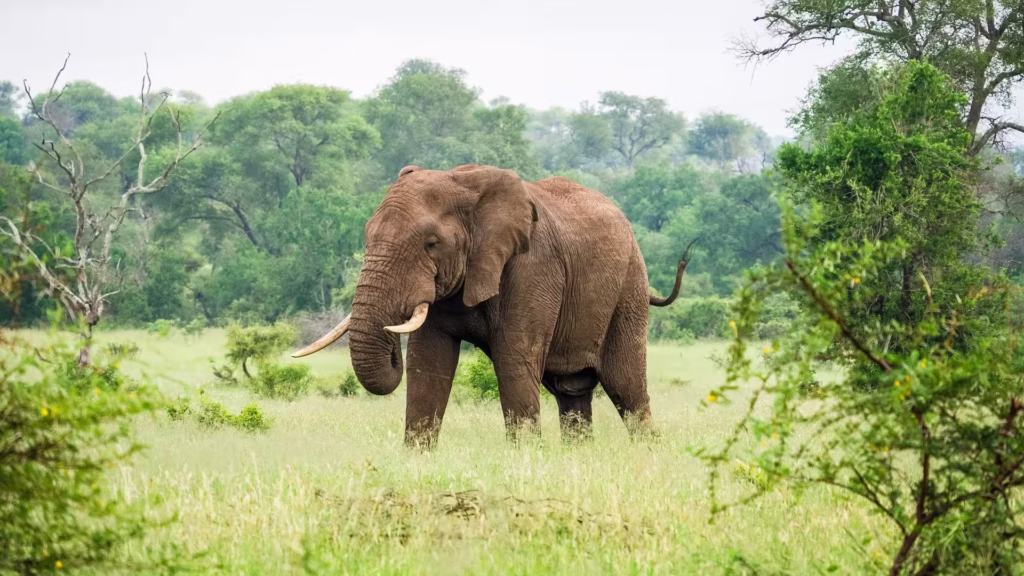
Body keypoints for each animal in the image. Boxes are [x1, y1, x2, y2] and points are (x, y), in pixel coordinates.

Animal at [292, 164, 690, 448]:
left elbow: (514, 359)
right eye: (367, 235)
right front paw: (418, 457)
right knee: (572, 392)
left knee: (626, 386)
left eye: (431, 244)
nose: (391, 339)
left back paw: (647, 452)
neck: (466, 186)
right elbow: (427, 362)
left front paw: (525, 458)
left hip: (629, 287)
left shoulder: (532, 268)